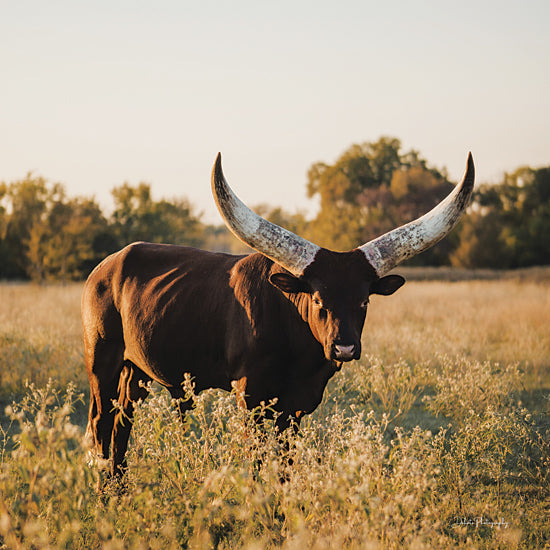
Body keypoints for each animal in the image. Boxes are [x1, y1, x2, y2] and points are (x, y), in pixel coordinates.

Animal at [84, 152, 476, 478]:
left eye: (365, 301)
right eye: (317, 299)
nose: (345, 348)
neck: (298, 347)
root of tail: (106, 266)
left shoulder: (297, 406)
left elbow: (286, 465)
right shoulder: (251, 398)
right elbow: (259, 464)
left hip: (136, 371)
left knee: (121, 427)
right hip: (101, 362)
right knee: (102, 427)